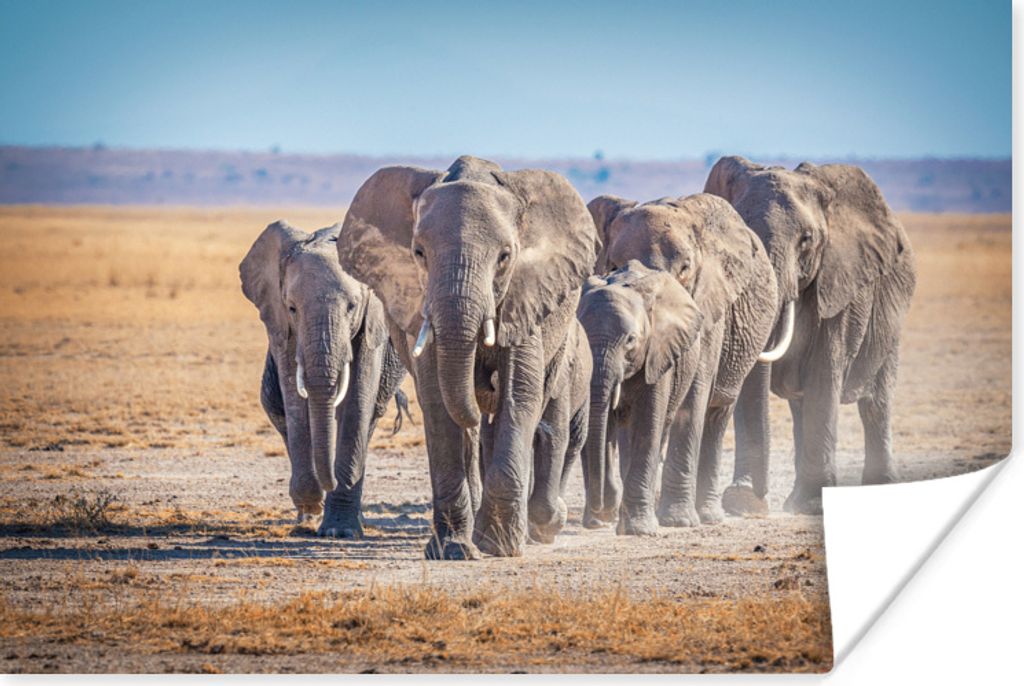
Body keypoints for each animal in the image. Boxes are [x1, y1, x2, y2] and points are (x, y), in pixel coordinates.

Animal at [240, 221, 408, 538]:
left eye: (352, 307)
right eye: (292, 308)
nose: (327, 482)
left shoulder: (374, 318)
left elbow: (357, 401)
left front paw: (340, 531)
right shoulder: (280, 322)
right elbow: (294, 399)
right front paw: (310, 502)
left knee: (369, 415)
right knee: (276, 406)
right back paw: (306, 516)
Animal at [337, 156, 599, 559]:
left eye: (505, 257)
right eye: (419, 253)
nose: (484, 384)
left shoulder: (526, 294)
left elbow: (519, 395)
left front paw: (499, 547)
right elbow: (437, 401)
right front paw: (453, 550)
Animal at [577, 261, 703, 536]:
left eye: (631, 340)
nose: (600, 510)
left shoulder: (658, 352)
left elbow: (647, 425)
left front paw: (639, 529)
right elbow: (601, 428)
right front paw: (603, 517)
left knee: (678, 417)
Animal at [588, 193, 779, 527]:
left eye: (685, 267)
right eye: (614, 266)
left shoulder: (710, 302)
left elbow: (693, 397)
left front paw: (678, 521)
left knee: (716, 413)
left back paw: (708, 514)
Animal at [704, 157, 916, 514]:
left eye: (806, 238)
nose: (756, 501)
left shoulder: (839, 283)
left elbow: (824, 373)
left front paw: (816, 502)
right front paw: (742, 502)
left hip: (893, 318)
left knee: (876, 402)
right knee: (801, 407)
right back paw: (794, 501)